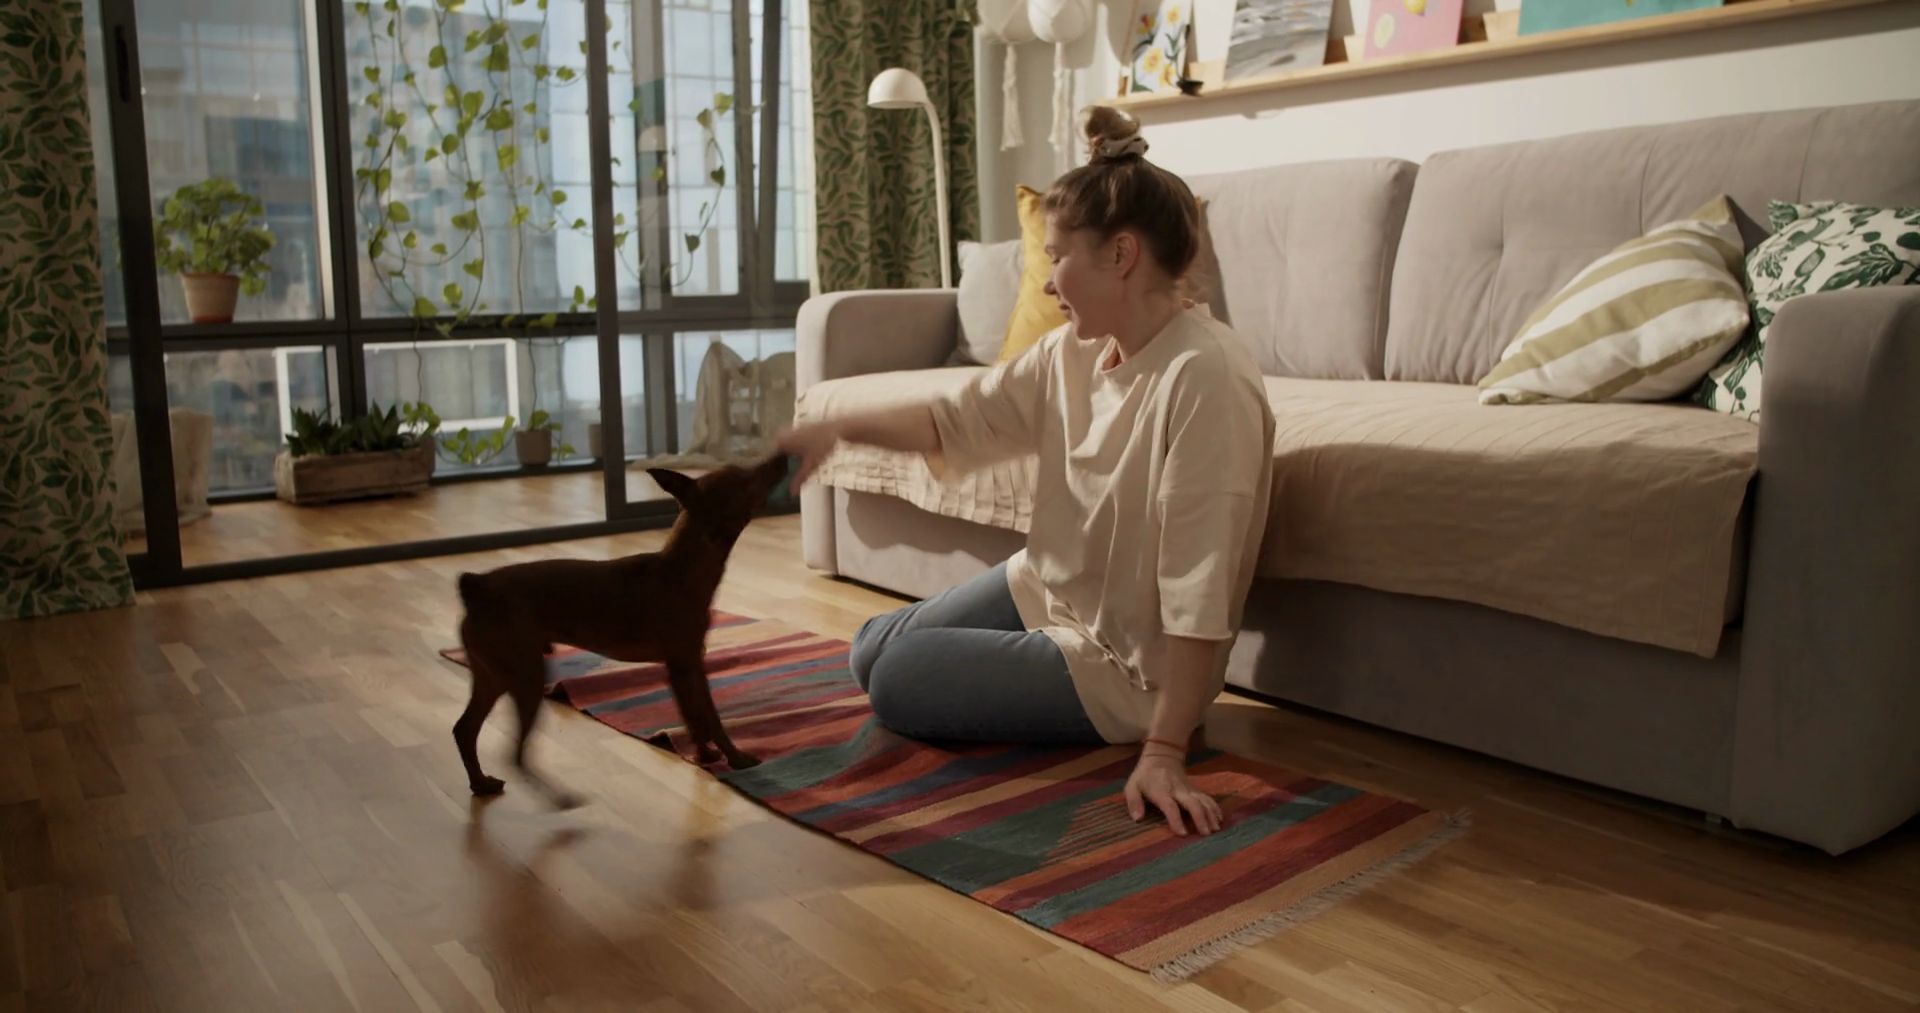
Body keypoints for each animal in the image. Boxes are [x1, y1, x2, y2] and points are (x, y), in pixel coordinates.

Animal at [452, 454, 789, 808]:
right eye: (745, 478)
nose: (781, 457)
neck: (683, 568)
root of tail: (477, 586)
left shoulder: (682, 668)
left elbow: (693, 716)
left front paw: (704, 755)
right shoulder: (688, 664)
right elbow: (710, 716)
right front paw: (735, 758)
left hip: (493, 675)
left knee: (465, 729)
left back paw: (480, 782)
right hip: (526, 675)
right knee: (515, 754)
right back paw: (558, 797)